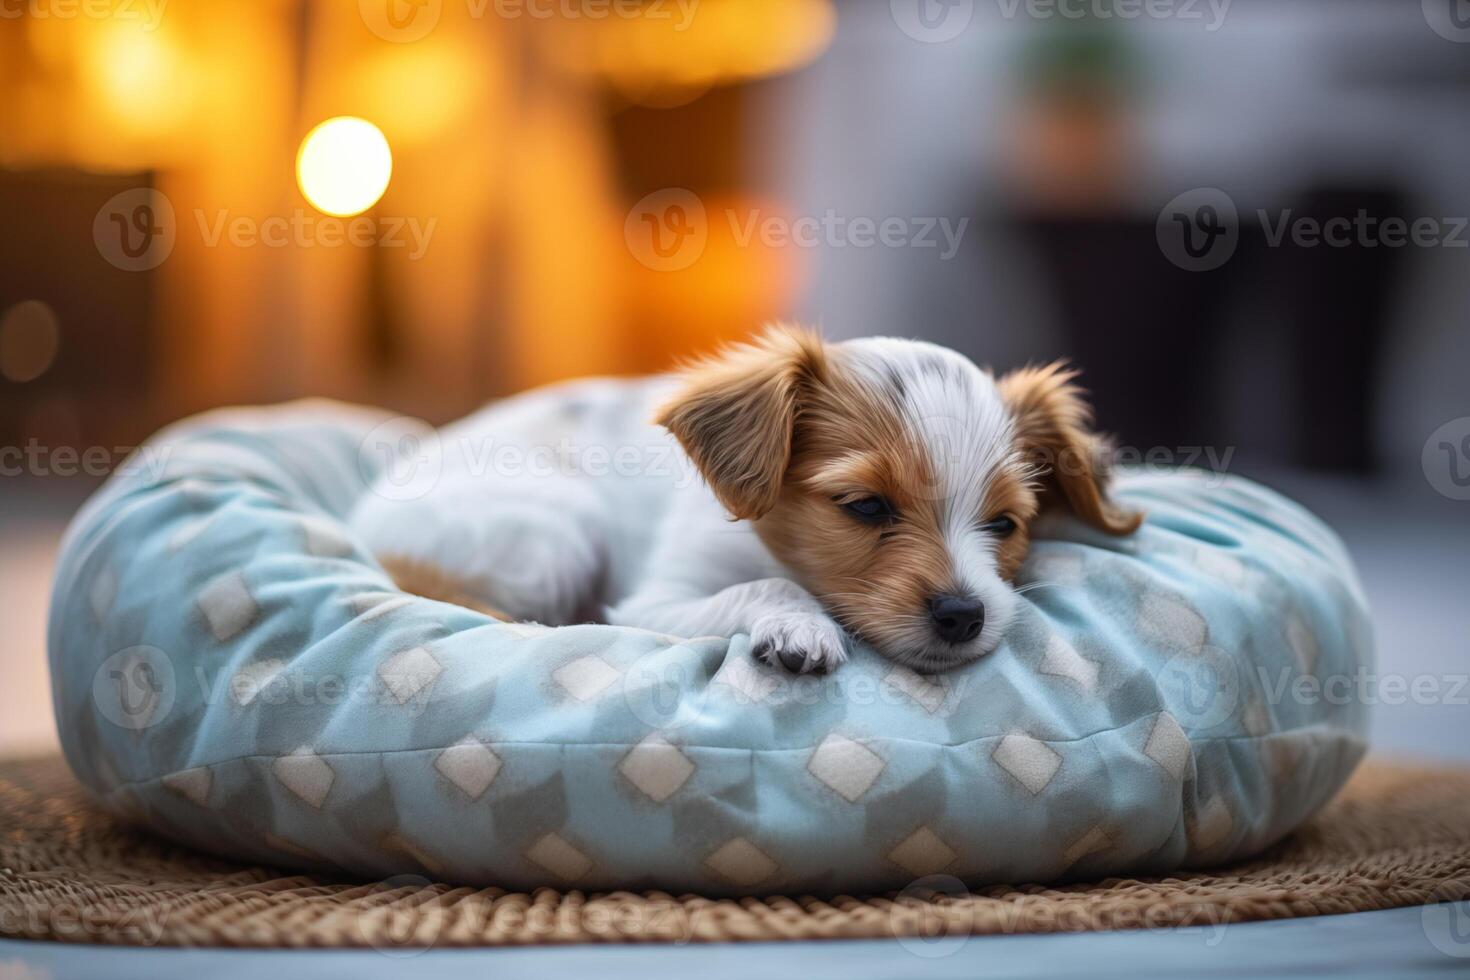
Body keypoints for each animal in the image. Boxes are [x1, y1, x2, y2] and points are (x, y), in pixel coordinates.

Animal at [352, 327, 1134, 675]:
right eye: (865, 506)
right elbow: (765, 588)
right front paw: (801, 626)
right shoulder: (652, 602)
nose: (964, 617)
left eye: (1005, 522)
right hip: (559, 536)